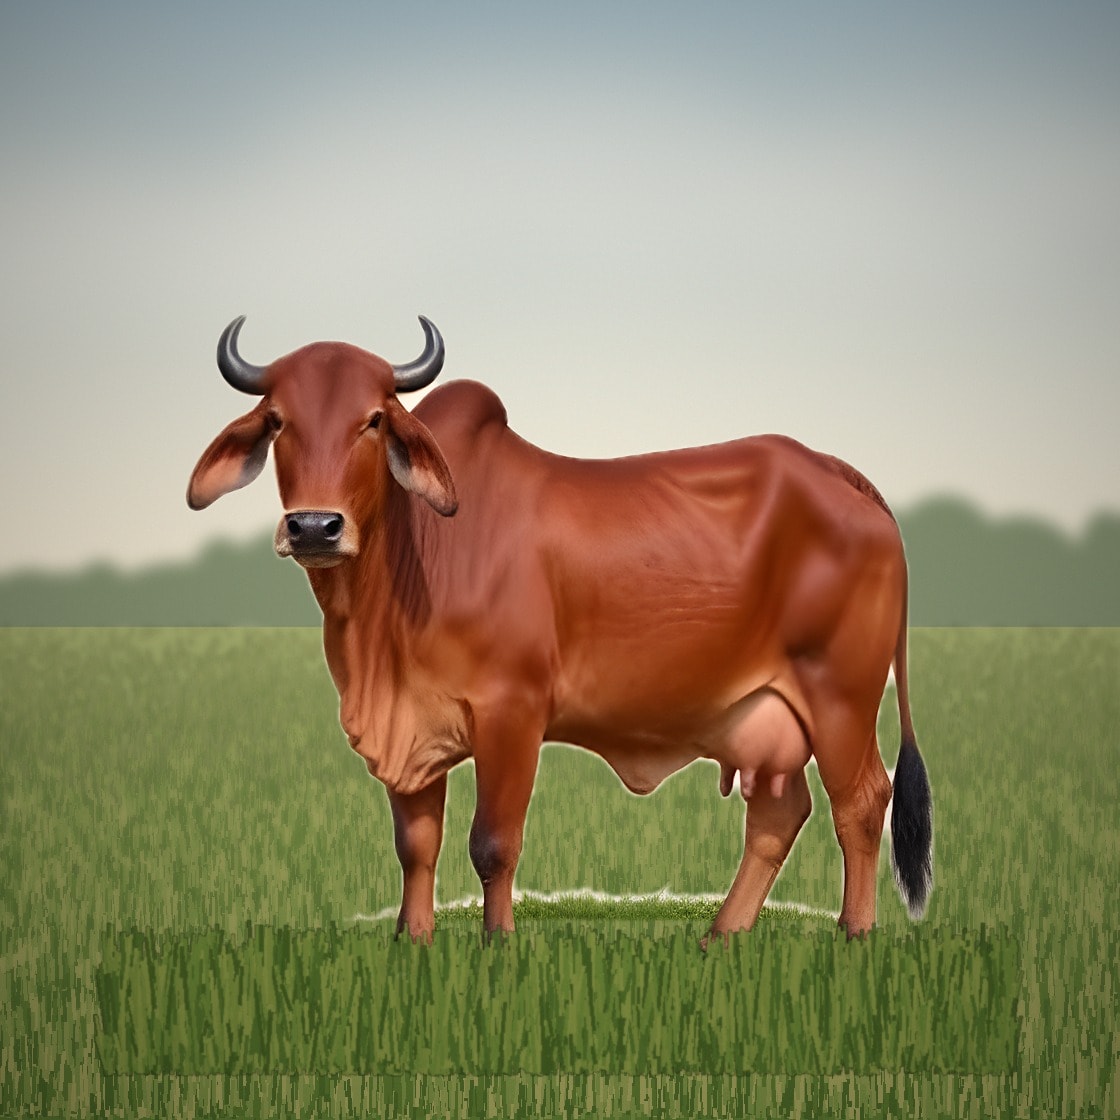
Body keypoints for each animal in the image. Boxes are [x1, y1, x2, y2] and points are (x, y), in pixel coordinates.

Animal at [188, 315, 933, 942]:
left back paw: (854, 935)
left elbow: (493, 843)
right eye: (278, 421)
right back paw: (720, 936)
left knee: (862, 803)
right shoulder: (411, 729)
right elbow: (416, 846)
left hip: (840, 696)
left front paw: (497, 944)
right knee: (780, 815)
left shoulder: (512, 713)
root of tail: (838, 473)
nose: (314, 526)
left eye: (373, 419)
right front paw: (412, 941)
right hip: (768, 715)